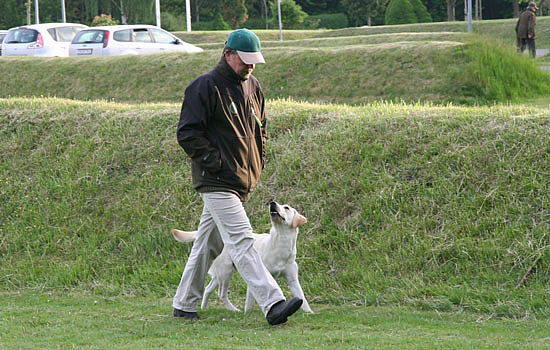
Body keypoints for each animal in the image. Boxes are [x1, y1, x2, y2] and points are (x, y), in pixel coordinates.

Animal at [172, 202, 312, 314]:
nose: (272, 203)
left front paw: (309, 312)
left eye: (286, 207)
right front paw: (248, 313)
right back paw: (234, 310)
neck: (280, 242)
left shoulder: (293, 280)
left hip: (219, 275)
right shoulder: (257, 275)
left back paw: (204, 308)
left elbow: (302, 297)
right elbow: (249, 302)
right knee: (221, 294)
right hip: (226, 272)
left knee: (207, 289)